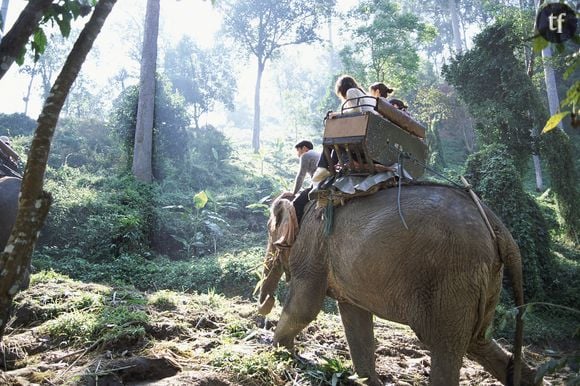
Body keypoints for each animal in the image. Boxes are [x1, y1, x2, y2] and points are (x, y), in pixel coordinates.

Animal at [258, 184, 540, 386]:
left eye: (270, 233)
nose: (263, 309)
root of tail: (499, 228)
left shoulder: (313, 244)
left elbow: (305, 306)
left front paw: (274, 350)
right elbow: (354, 318)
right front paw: (366, 381)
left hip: (452, 278)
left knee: (445, 346)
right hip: (485, 281)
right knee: (478, 342)